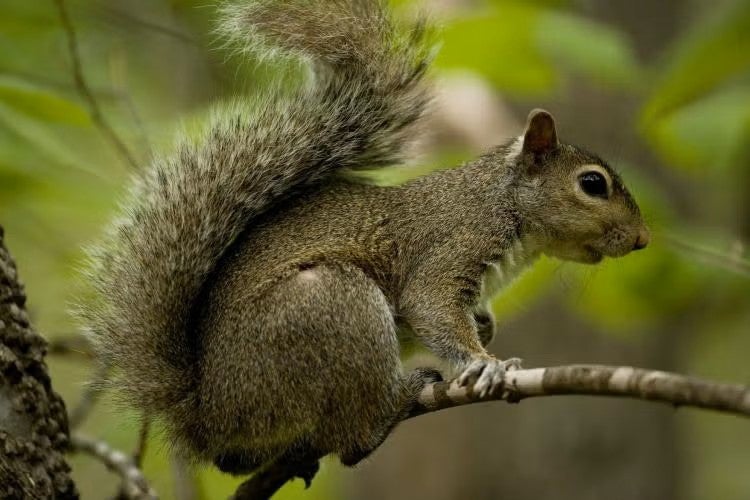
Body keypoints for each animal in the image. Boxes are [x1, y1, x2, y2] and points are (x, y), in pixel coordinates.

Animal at [80, 0, 650, 485]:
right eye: (592, 184)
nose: (643, 239)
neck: (502, 203)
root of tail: (209, 418)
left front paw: (485, 325)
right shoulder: (453, 242)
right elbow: (430, 303)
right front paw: (483, 361)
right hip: (331, 307)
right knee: (350, 438)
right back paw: (395, 403)